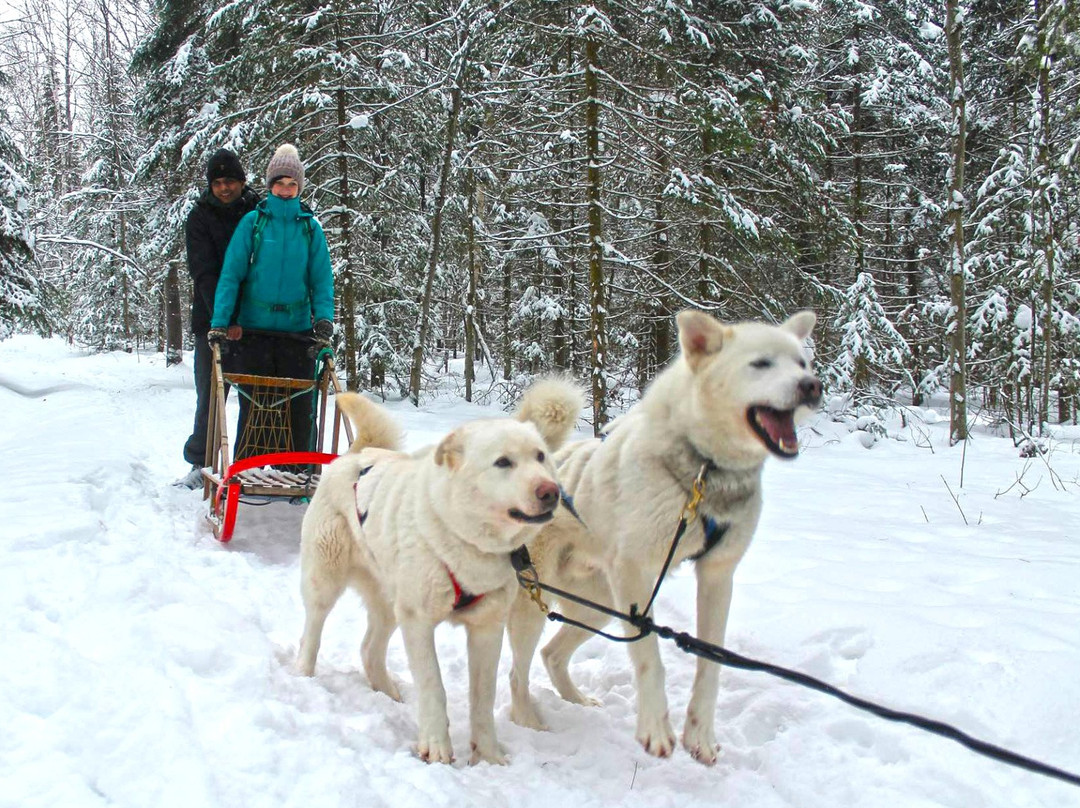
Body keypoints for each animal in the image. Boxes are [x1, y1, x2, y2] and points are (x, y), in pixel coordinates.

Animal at [295, 378, 583, 764]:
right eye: (503, 462)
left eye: (540, 456)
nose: (550, 491)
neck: (465, 543)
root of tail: (359, 454)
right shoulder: (418, 621)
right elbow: (434, 686)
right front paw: (436, 747)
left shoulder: (486, 629)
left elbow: (483, 698)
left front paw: (488, 756)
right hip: (326, 581)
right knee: (311, 632)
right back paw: (303, 675)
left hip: (390, 605)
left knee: (370, 649)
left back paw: (388, 693)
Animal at [505, 308, 816, 764]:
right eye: (761, 363)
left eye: (803, 363)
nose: (812, 386)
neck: (704, 474)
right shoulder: (635, 574)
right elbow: (649, 655)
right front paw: (655, 727)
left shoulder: (718, 576)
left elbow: (710, 663)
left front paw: (700, 734)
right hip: (537, 605)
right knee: (517, 671)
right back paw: (528, 721)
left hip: (598, 608)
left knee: (552, 654)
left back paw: (578, 700)